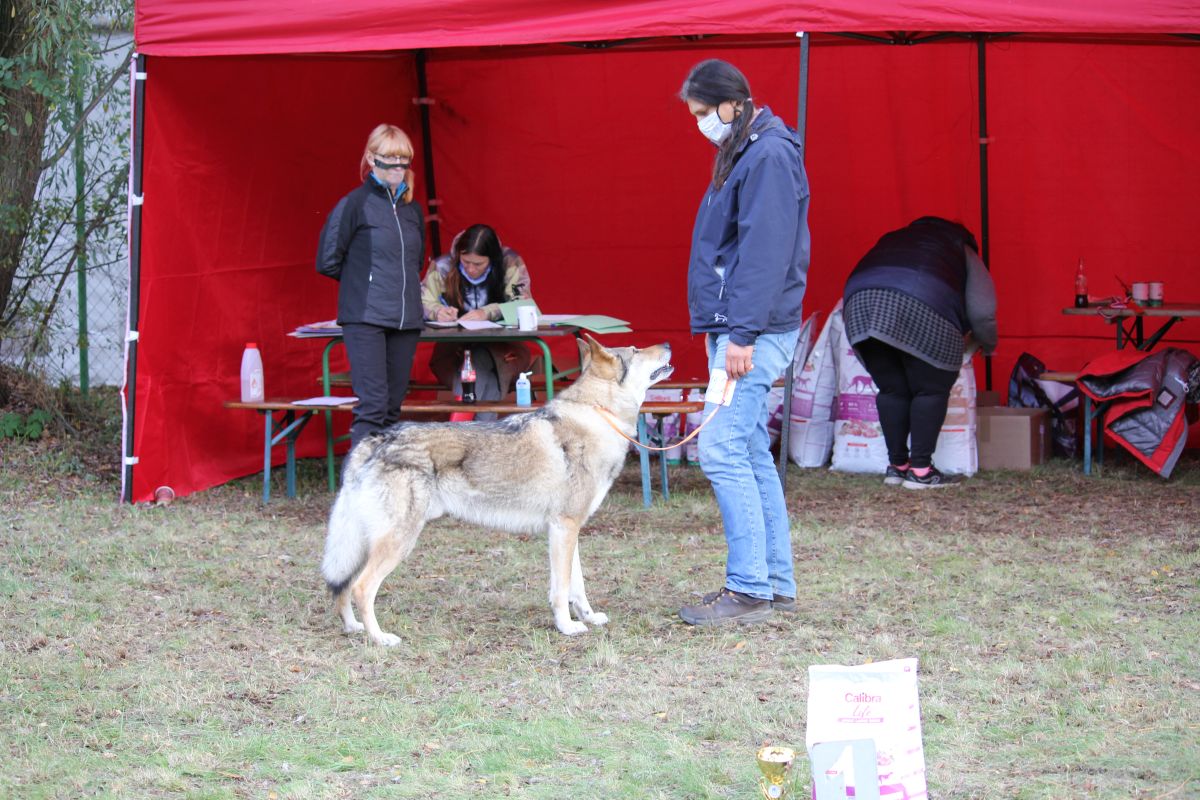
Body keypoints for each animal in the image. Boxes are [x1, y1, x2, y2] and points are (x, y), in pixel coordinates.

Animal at [321, 335, 676, 647]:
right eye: (636, 349)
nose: (668, 343)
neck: (597, 415)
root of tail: (375, 440)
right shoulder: (564, 528)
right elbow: (561, 590)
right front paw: (567, 627)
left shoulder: (569, 530)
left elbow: (577, 586)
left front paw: (588, 617)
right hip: (397, 541)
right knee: (362, 588)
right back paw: (380, 639)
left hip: (366, 543)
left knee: (343, 586)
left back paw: (353, 628)